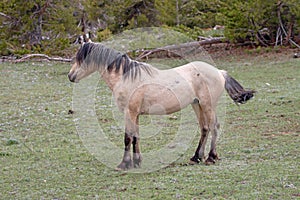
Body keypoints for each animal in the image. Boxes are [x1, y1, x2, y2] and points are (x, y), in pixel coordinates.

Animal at [68, 42, 255, 170]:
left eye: (81, 59)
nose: (70, 76)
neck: (126, 77)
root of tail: (219, 72)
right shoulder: (135, 114)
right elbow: (136, 137)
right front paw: (137, 162)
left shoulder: (130, 112)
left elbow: (128, 138)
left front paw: (124, 164)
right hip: (197, 105)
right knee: (205, 128)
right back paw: (196, 157)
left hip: (208, 105)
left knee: (214, 126)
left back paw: (210, 157)